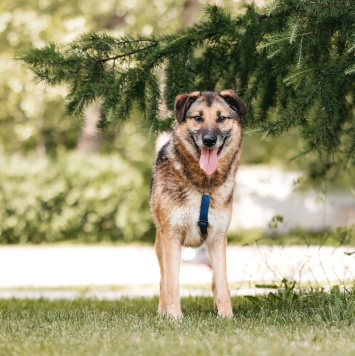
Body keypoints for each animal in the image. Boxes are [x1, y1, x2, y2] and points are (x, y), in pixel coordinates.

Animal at [150, 90, 248, 318]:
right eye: (197, 118)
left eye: (221, 118)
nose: (209, 140)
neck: (204, 185)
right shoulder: (171, 237)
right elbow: (171, 284)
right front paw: (174, 317)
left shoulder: (218, 238)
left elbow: (222, 283)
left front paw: (226, 316)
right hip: (161, 245)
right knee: (163, 280)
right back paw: (162, 311)